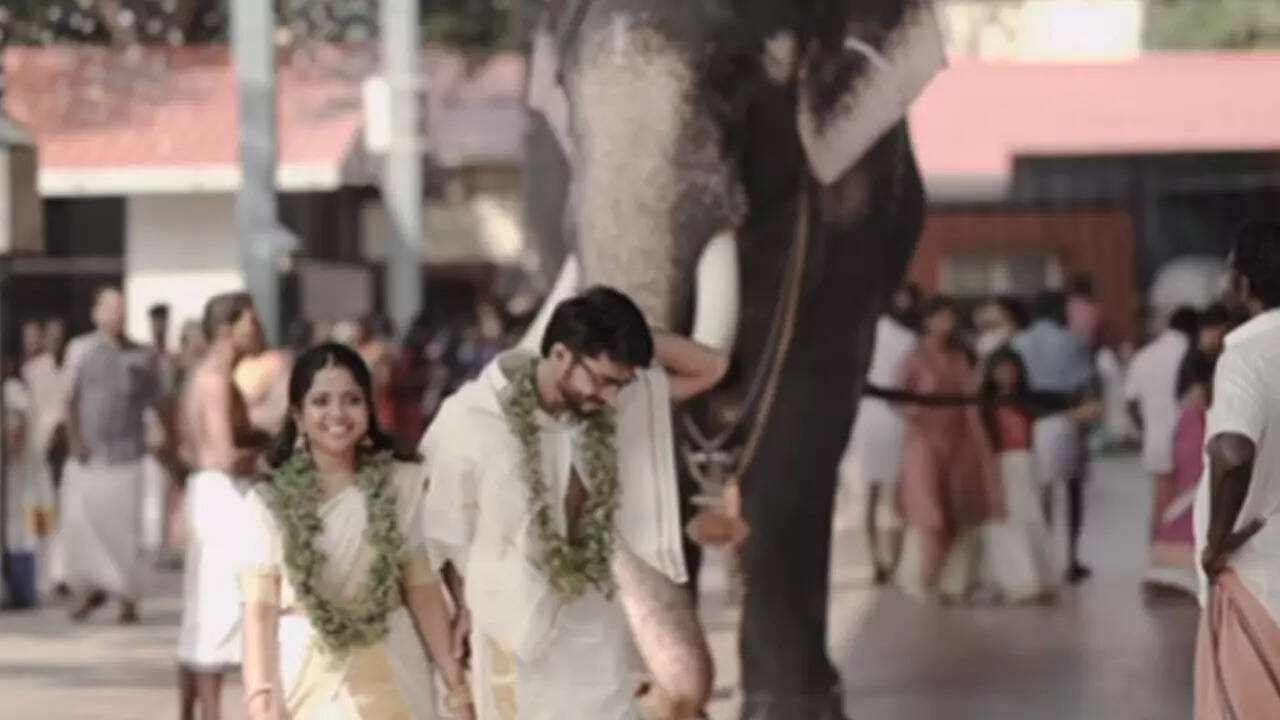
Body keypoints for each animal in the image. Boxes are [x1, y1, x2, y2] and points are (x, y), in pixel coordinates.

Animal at [521, 2, 944, 718]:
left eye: (736, 74)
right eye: (564, 87)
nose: (655, 693)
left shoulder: (854, 218)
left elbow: (804, 421)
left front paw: (793, 707)